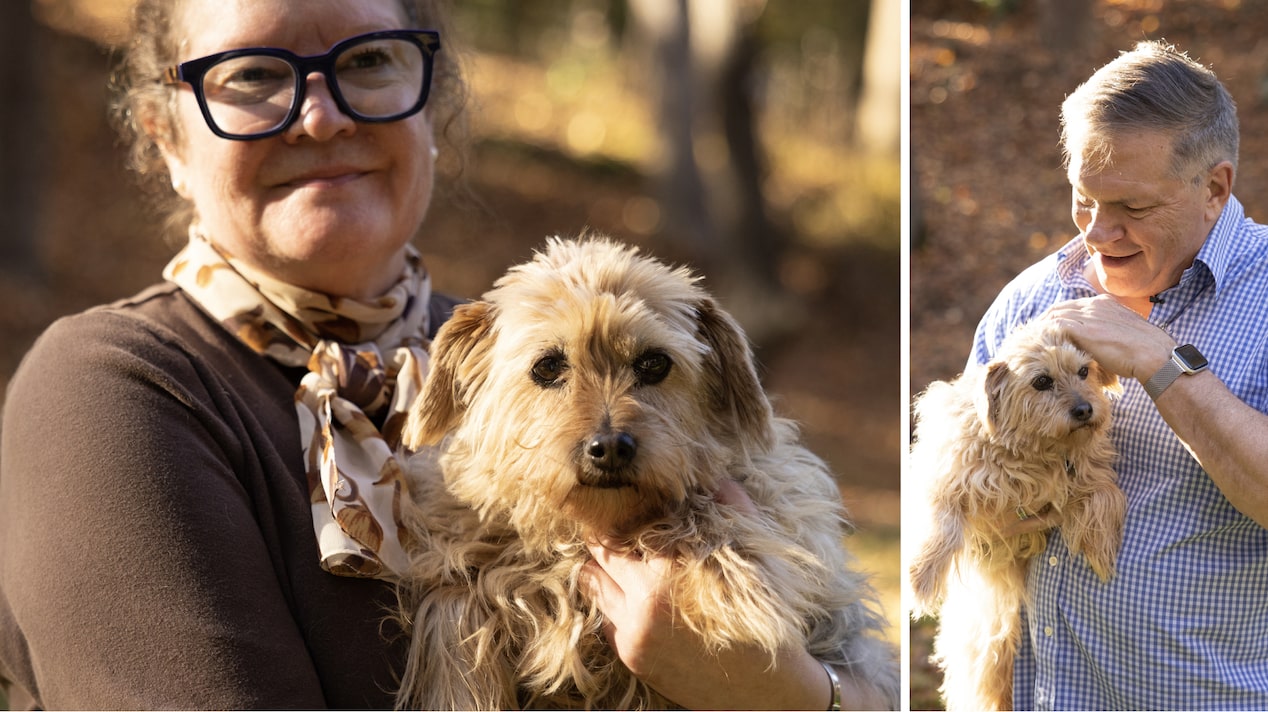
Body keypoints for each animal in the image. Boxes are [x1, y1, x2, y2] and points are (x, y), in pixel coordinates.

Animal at [395, 236, 902, 704]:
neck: (590, 528)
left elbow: (709, 507)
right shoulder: (461, 559)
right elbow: (460, 615)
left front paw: (732, 585)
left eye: (655, 362)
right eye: (548, 366)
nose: (610, 448)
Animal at [907, 320, 1125, 709]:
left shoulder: (1087, 471)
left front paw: (1101, 549)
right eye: (1041, 381)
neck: (1032, 452)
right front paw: (920, 578)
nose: (1085, 410)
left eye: (1084, 371)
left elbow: (1105, 495)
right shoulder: (945, 472)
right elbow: (941, 522)